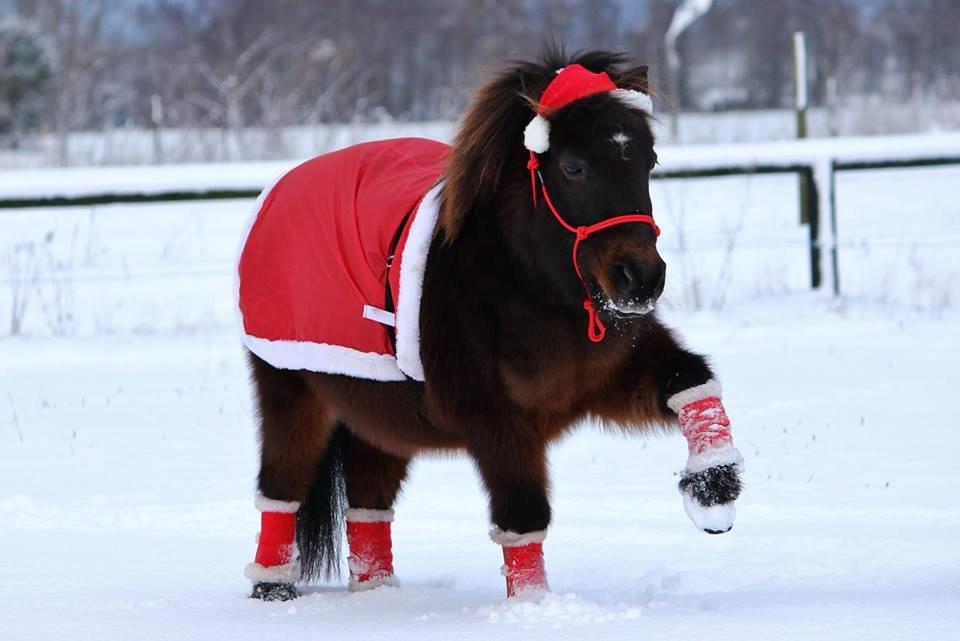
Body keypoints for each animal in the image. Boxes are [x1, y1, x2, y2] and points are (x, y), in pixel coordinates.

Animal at [246, 48, 744, 600]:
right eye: (573, 167)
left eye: (648, 161)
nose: (641, 279)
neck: (530, 287)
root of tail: (277, 191)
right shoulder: (496, 419)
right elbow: (523, 517)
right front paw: (532, 605)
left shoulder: (610, 376)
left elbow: (693, 380)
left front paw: (714, 490)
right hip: (291, 391)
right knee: (281, 489)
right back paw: (274, 588)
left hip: (380, 417)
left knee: (368, 501)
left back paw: (378, 591)